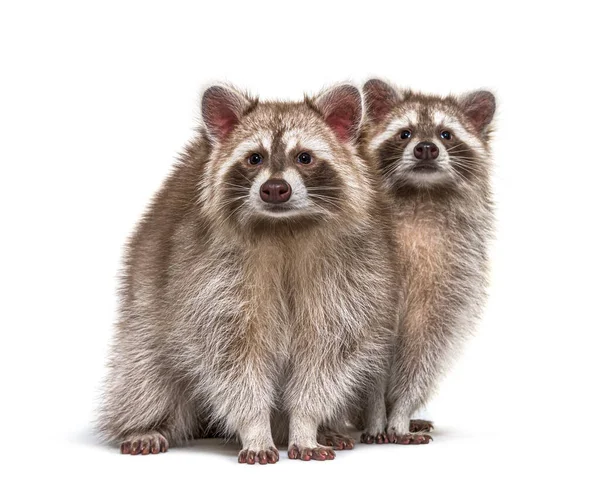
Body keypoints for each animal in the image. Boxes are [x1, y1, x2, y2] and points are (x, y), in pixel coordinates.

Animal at [97, 83, 398, 462]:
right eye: (254, 158)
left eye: (304, 157)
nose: (275, 188)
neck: (283, 227)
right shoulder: (207, 274)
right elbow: (233, 362)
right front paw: (255, 430)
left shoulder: (351, 273)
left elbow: (325, 358)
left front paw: (306, 426)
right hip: (145, 311)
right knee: (144, 372)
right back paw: (145, 425)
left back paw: (327, 429)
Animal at [358, 80, 494, 446]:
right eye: (405, 133)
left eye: (446, 134)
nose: (426, 149)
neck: (421, 194)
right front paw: (375, 414)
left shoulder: (454, 277)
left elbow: (424, 353)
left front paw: (400, 414)